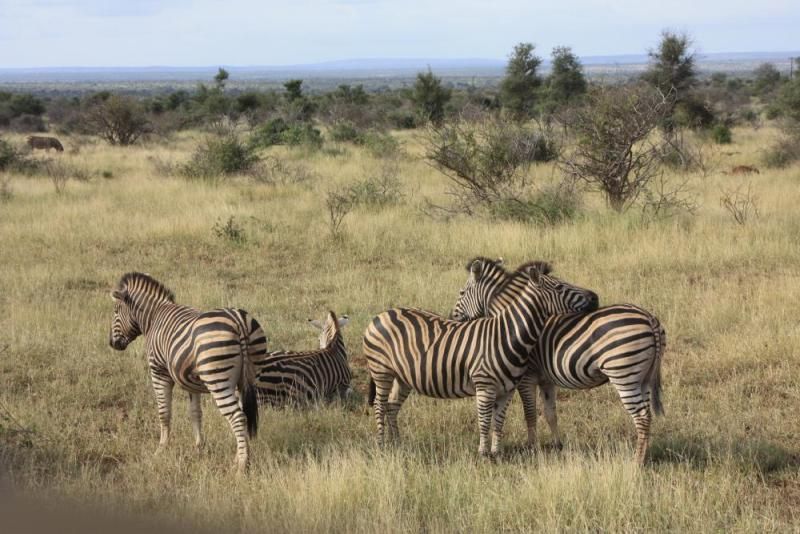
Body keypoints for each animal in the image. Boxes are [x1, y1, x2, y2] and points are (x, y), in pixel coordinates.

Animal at [108, 272, 267, 473]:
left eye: (115, 311)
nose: (112, 343)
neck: (153, 318)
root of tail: (238, 320)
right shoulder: (191, 380)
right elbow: (195, 413)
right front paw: (199, 447)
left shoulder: (159, 372)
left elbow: (164, 412)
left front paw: (161, 449)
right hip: (249, 377)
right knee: (244, 414)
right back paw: (238, 458)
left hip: (218, 380)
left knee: (237, 417)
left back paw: (241, 466)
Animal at [363, 258, 599, 458]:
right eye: (560, 288)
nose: (595, 298)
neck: (506, 333)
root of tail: (382, 314)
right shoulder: (486, 385)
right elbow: (486, 421)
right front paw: (483, 454)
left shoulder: (507, 390)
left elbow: (499, 421)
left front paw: (496, 453)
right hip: (382, 372)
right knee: (380, 406)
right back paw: (382, 446)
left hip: (402, 377)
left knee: (392, 406)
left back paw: (397, 443)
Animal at [450, 259, 666, 465]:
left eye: (462, 292)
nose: (452, 317)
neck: (513, 325)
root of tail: (649, 318)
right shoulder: (547, 380)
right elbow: (550, 413)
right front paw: (557, 445)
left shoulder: (527, 377)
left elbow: (530, 413)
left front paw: (532, 448)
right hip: (643, 377)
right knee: (647, 415)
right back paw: (645, 455)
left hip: (624, 373)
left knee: (641, 416)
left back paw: (636, 462)